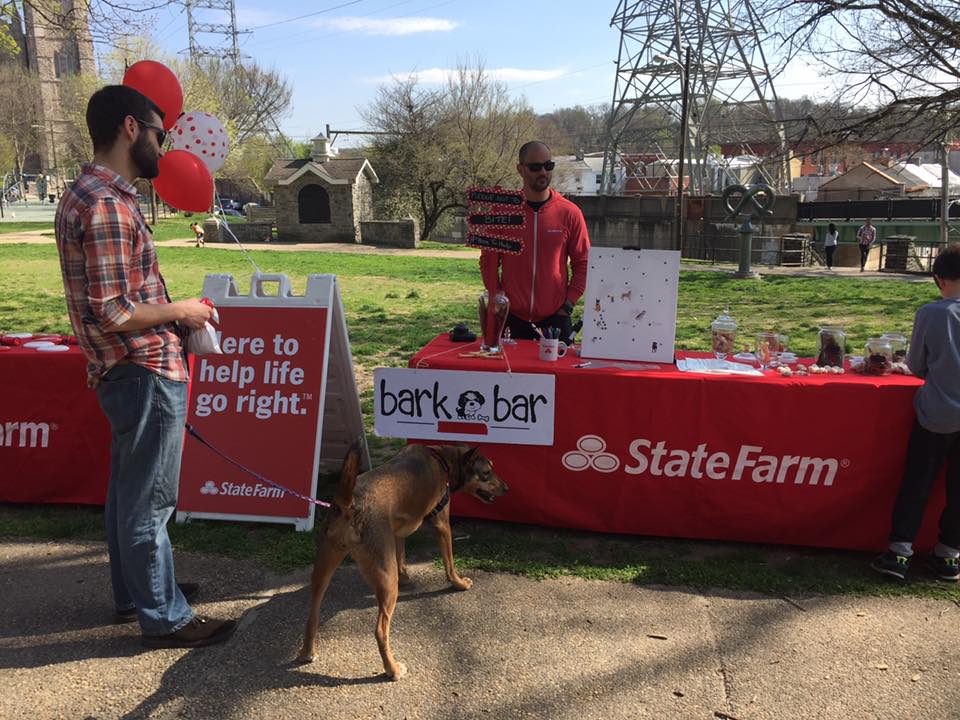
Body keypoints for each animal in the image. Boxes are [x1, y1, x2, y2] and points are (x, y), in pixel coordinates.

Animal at [298, 438, 510, 680]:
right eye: (486, 472)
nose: (507, 488)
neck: (443, 460)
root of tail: (349, 504)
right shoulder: (442, 525)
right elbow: (449, 563)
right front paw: (459, 583)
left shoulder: (397, 533)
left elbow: (401, 557)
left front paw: (406, 577)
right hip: (387, 582)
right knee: (380, 631)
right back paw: (392, 669)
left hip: (323, 566)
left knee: (312, 615)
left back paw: (307, 652)